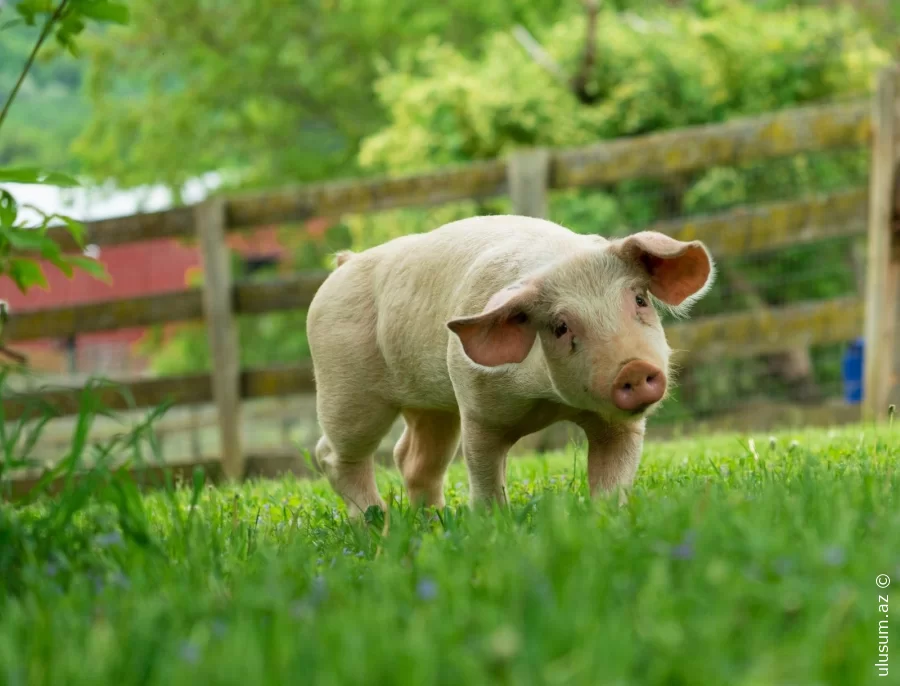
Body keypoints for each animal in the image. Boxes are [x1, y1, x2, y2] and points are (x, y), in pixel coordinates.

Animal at [306, 216, 712, 516]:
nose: (632, 368)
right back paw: (376, 523)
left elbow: (613, 477)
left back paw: (432, 521)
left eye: (640, 299)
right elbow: (484, 474)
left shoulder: (617, 425)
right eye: (560, 326)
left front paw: (608, 517)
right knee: (334, 454)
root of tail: (345, 262)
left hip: (432, 406)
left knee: (410, 458)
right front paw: (493, 524)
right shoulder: (477, 409)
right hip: (346, 386)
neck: (548, 403)